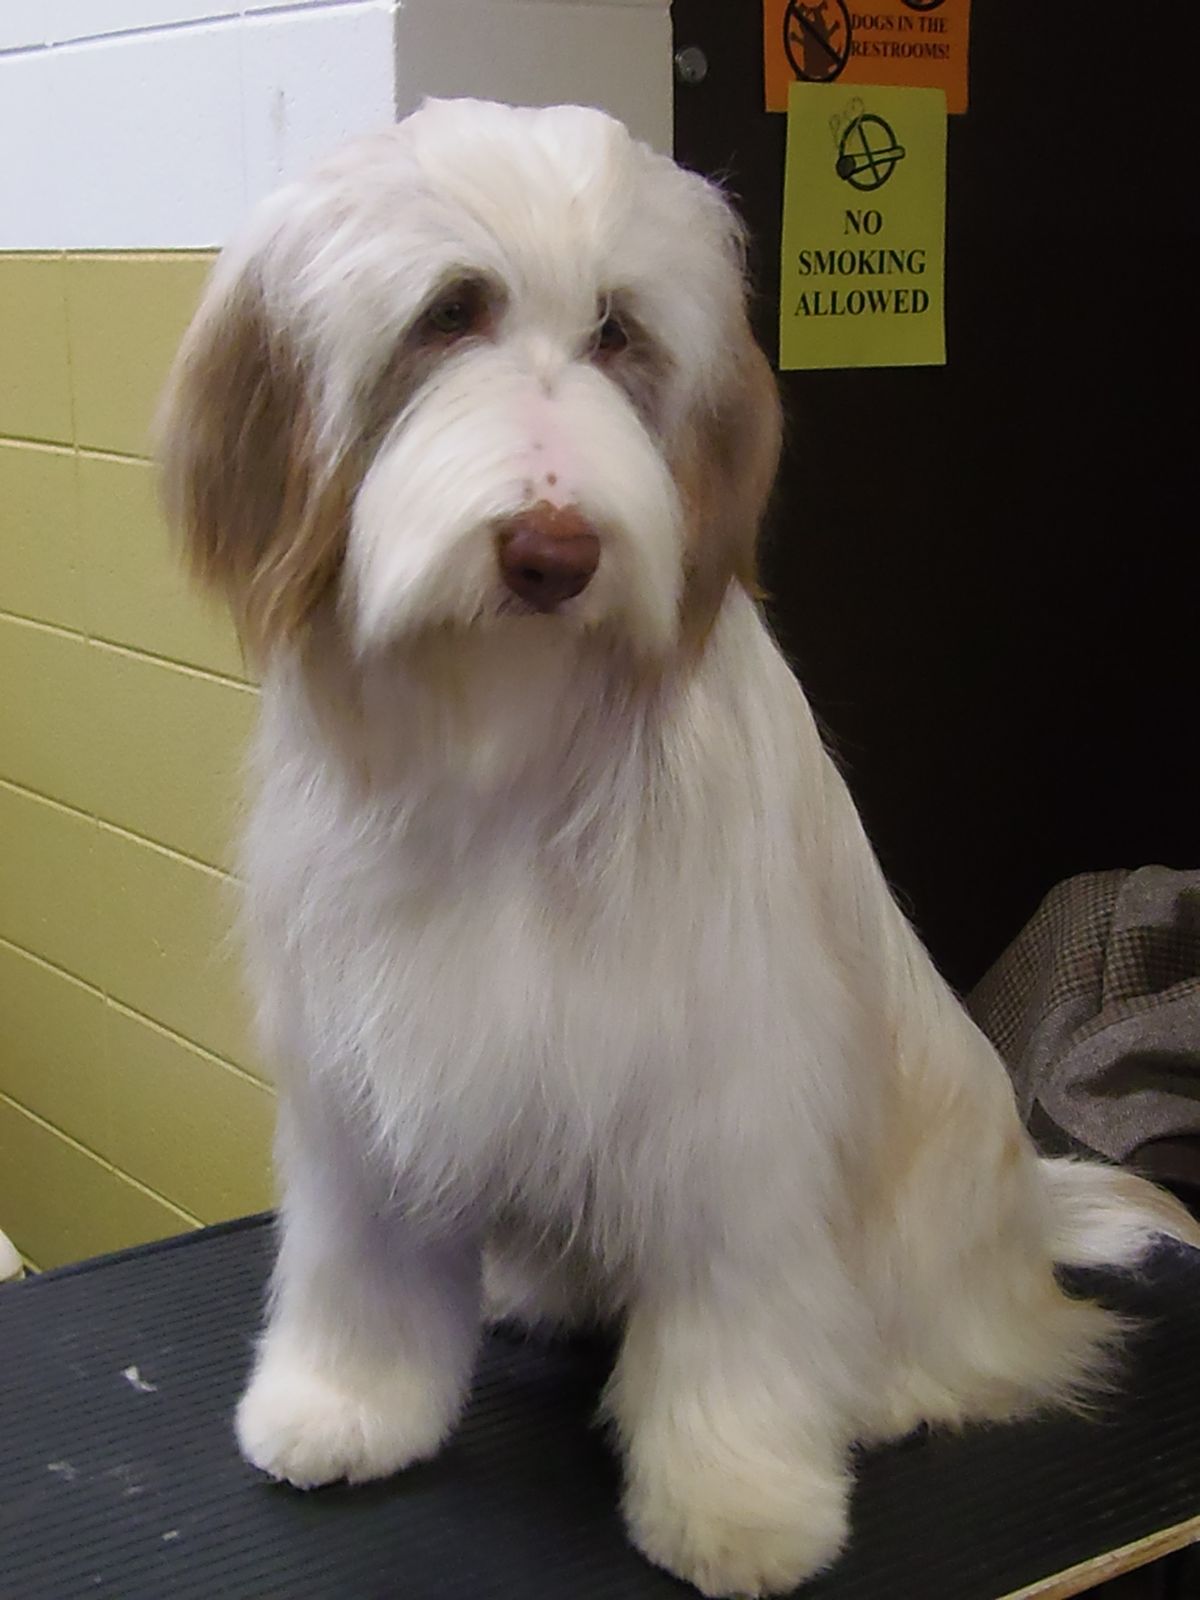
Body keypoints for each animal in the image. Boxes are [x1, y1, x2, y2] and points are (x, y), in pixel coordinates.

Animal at [158, 98, 1199, 1598]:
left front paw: (739, 1501)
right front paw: (346, 1404)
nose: (555, 550)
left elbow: (735, 1319)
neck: (507, 725)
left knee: (958, 1342)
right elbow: (365, 1265)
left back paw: (890, 1388)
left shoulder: (724, 1094)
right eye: (449, 311)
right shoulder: (368, 1067)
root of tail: (1022, 1225)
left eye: (620, 331)